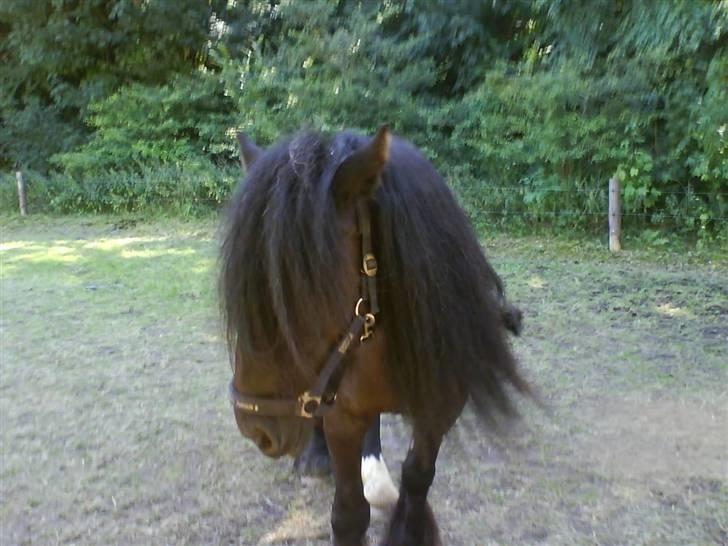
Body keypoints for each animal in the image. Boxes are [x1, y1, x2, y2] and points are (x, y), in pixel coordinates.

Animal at [219, 125, 532, 540]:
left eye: (302, 285)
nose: (256, 426)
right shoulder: (341, 414)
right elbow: (350, 512)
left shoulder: (441, 407)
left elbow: (417, 475)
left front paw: (408, 528)